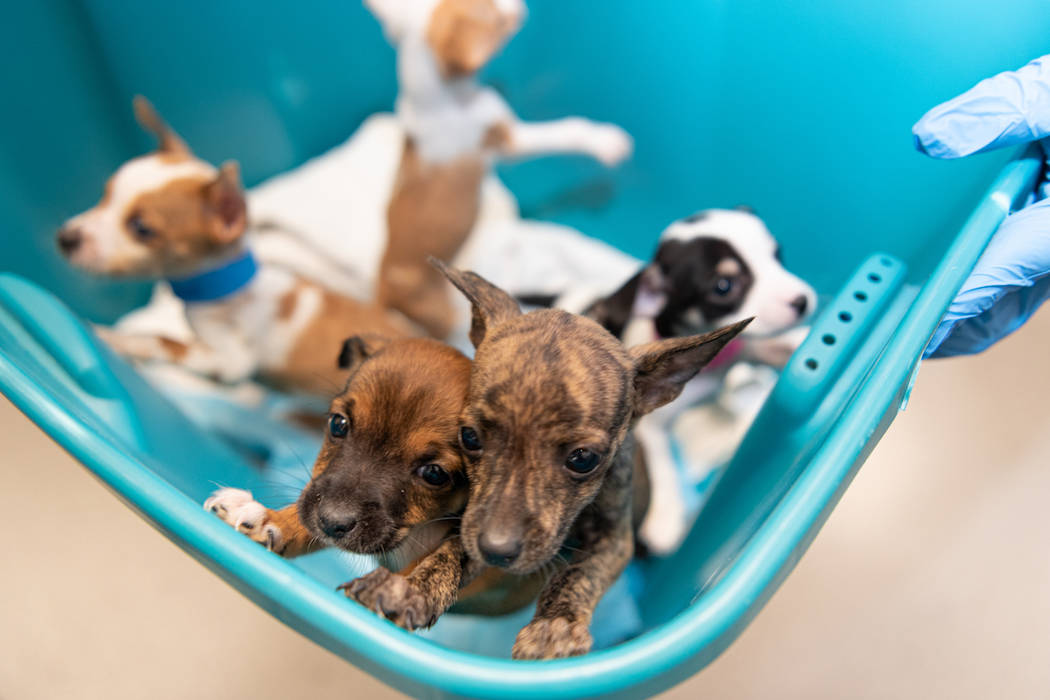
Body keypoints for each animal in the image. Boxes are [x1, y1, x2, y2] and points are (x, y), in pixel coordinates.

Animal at [56, 96, 409, 396]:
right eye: (105, 195)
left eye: (142, 229)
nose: (65, 238)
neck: (228, 288)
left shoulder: (231, 362)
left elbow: (163, 340)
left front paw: (119, 340)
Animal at [205, 335, 476, 633]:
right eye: (338, 424)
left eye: (434, 474)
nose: (331, 522)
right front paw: (270, 520)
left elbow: (445, 559)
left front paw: (406, 590)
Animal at [369, 0, 630, 335]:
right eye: (498, 19)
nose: (521, 6)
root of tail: (382, 284)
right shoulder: (508, 139)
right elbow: (564, 131)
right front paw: (603, 141)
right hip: (443, 311)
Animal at [417, 261, 747, 659]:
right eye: (469, 437)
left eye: (584, 459)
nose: (496, 551)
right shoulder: (474, 518)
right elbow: (457, 545)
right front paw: (420, 585)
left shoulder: (615, 538)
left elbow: (581, 573)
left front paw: (554, 624)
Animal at [533, 207, 818, 554]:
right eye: (724, 286)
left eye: (777, 254)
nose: (801, 302)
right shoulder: (650, 423)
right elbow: (662, 462)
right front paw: (666, 514)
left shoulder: (740, 350)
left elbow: (760, 347)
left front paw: (794, 342)